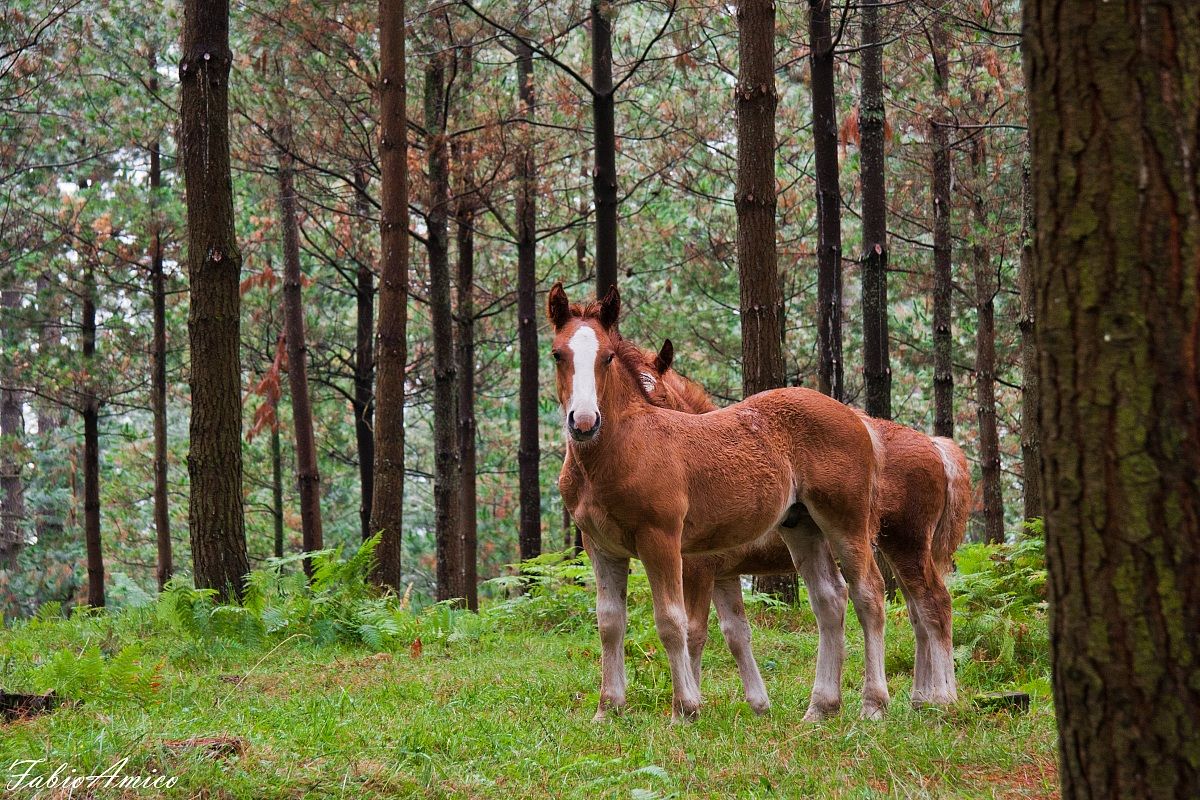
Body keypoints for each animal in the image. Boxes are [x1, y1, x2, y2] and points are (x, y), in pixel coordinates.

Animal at [549, 283, 889, 721]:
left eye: (606, 357)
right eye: (558, 354)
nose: (584, 422)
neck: (620, 448)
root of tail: (856, 418)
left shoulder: (665, 542)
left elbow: (673, 623)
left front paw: (685, 708)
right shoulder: (601, 547)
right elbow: (610, 623)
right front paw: (608, 709)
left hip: (846, 522)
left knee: (869, 594)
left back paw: (873, 705)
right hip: (802, 526)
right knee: (829, 600)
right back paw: (820, 708)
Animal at [635, 340, 970, 713]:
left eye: (656, 394)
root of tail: (935, 445)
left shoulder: (699, 570)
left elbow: (694, 633)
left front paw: (690, 705)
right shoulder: (724, 574)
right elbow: (736, 634)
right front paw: (758, 704)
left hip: (904, 543)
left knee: (932, 603)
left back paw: (942, 697)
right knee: (916, 612)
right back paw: (921, 698)